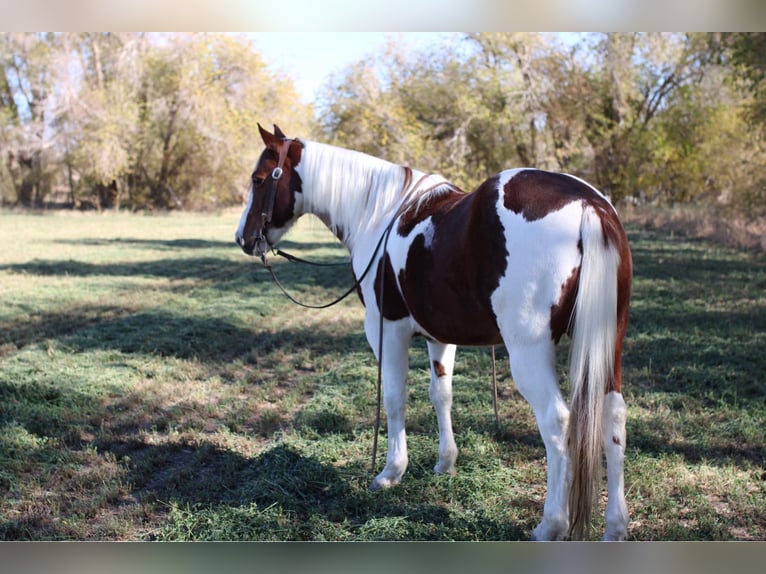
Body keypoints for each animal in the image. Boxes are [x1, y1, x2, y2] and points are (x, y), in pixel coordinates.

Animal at [235, 124, 632, 541]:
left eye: (258, 179)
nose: (243, 238)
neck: (378, 215)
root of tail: (589, 205)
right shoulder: (440, 336)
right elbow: (441, 395)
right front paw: (446, 462)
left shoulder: (387, 329)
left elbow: (395, 398)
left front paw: (390, 472)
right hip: (608, 347)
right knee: (613, 417)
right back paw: (615, 527)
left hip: (530, 353)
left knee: (556, 421)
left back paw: (550, 524)